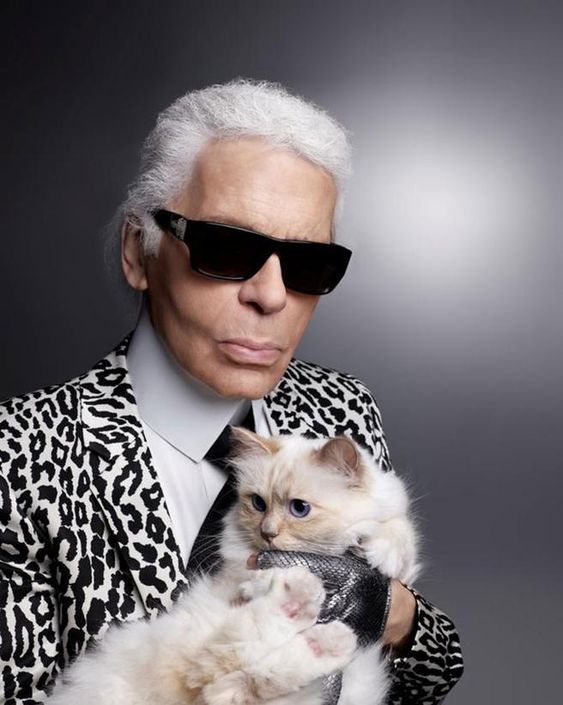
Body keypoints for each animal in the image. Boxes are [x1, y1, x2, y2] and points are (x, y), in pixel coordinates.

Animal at [46, 431, 419, 705]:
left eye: (299, 508)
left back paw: (326, 635)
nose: (267, 533)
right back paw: (302, 595)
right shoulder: (239, 573)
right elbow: (256, 579)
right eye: (258, 504)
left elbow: (399, 534)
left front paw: (380, 552)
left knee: (243, 678)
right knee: (223, 662)